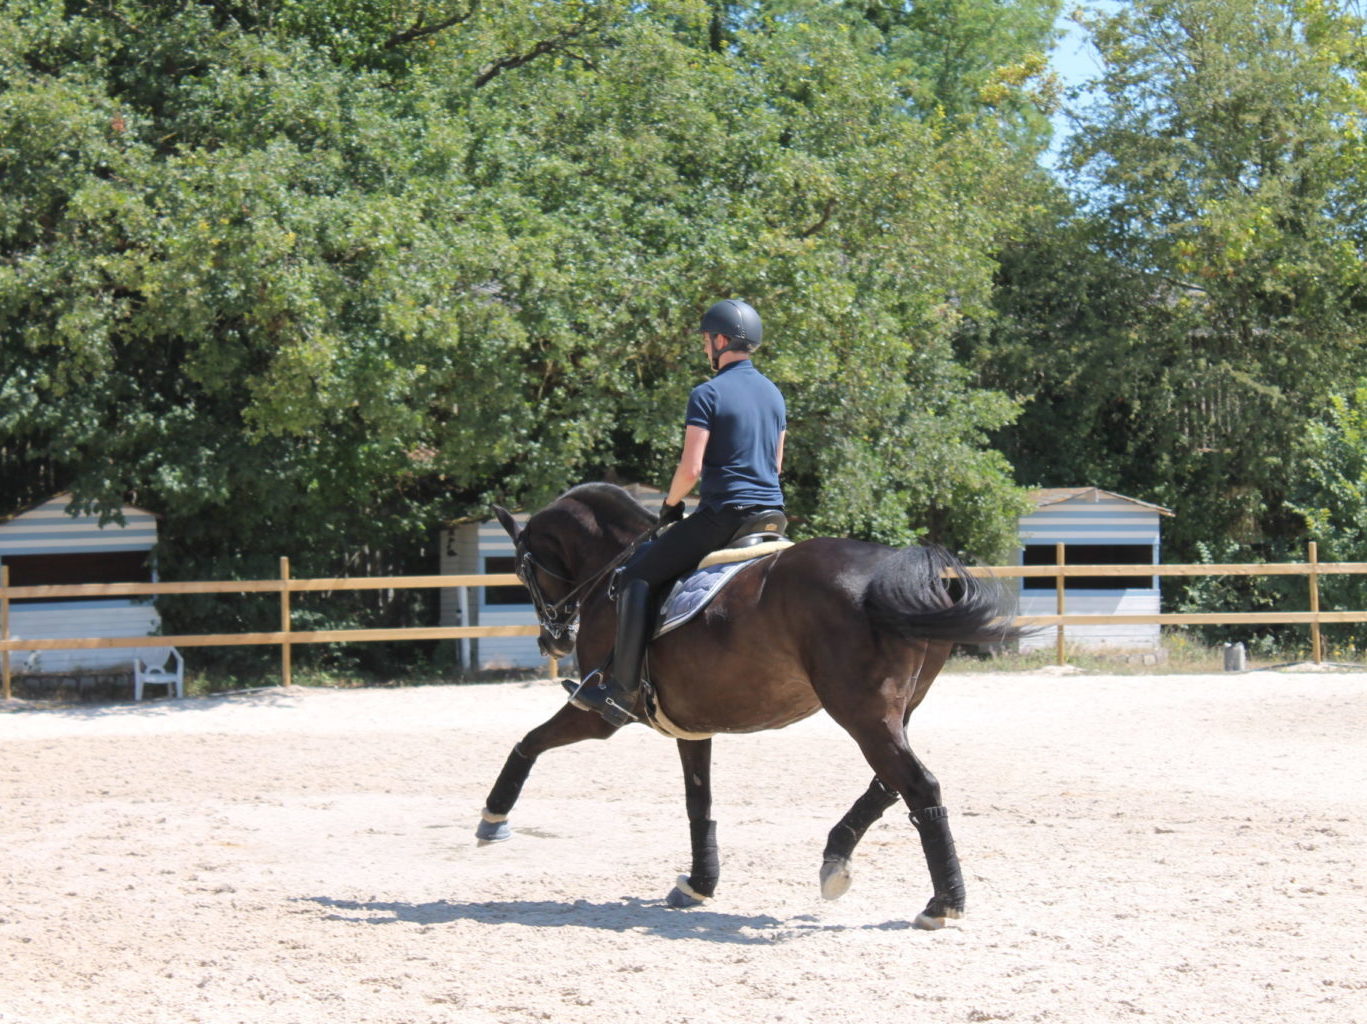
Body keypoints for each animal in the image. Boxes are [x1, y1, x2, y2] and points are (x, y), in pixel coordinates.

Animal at [475, 481, 1022, 924]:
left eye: (520, 571)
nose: (552, 641)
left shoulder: (600, 712)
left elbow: (530, 741)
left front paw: (493, 818)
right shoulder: (691, 725)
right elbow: (699, 802)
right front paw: (699, 884)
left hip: (862, 714)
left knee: (917, 784)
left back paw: (943, 903)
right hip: (894, 712)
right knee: (889, 784)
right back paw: (836, 859)